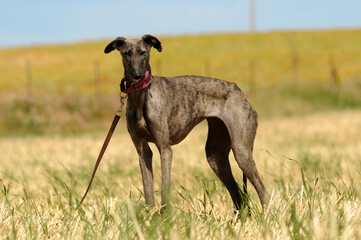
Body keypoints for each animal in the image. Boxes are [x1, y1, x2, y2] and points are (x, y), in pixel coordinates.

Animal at [104, 34, 270, 212]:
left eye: (143, 52)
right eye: (127, 53)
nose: (137, 75)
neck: (141, 96)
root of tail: (241, 93)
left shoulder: (165, 149)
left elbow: (164, 188)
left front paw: (165, 216)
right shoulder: (142, 150)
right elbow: (148, 190)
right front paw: (151, 217)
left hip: (241, 150)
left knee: (264, 193)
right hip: (215, 156)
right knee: (240, 198)